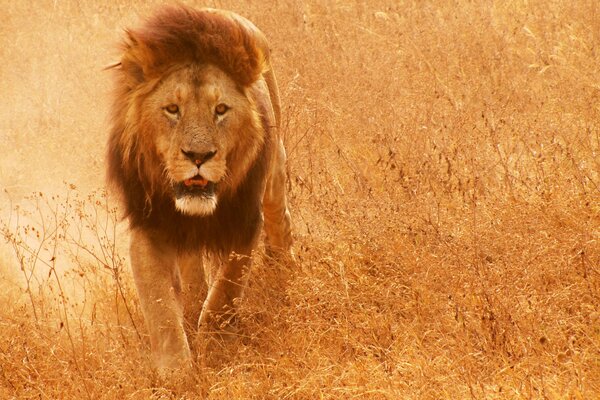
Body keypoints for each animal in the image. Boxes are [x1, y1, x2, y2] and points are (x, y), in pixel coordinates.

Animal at [108, 5, 296, 372]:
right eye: (172, 109)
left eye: (220, 110)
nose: (198, 156)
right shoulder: (148, 227)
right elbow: (161, 309)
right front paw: (177, 373)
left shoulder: (244, 223)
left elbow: (224, 293)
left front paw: (216, 350)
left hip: (275, 172)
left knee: (280, 218)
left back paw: (285, 270)